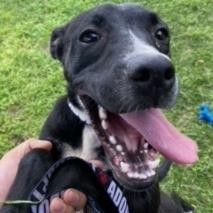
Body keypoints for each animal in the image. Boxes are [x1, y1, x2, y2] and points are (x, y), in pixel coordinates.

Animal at [1, 3, 198, 213]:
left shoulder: (140, 195)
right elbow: (34, 155)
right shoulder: (45, 142)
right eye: (89, 37)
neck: (88, 131)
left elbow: (78, 167)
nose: (157, 71)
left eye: (161, 33)